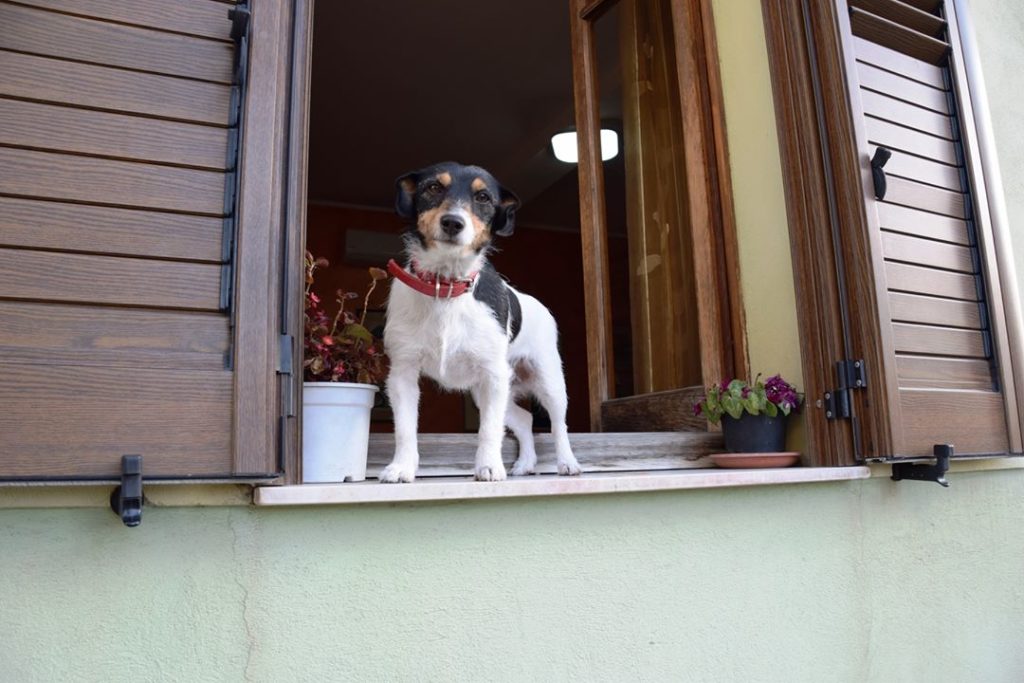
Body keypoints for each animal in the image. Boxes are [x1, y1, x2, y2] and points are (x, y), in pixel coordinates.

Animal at [378, 160, 585, 483]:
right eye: (433, 187)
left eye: (484, 197)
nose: (453, 222)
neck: (446, 287)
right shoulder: (403, 372)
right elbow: (404, 429)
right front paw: (401, 467)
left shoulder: (493, 375)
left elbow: (489, 429)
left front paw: (488, 467)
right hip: (489, 390)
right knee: (525, 419)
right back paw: (525, 464)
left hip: (547, 380)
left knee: (557, 424)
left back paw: (567, 463)